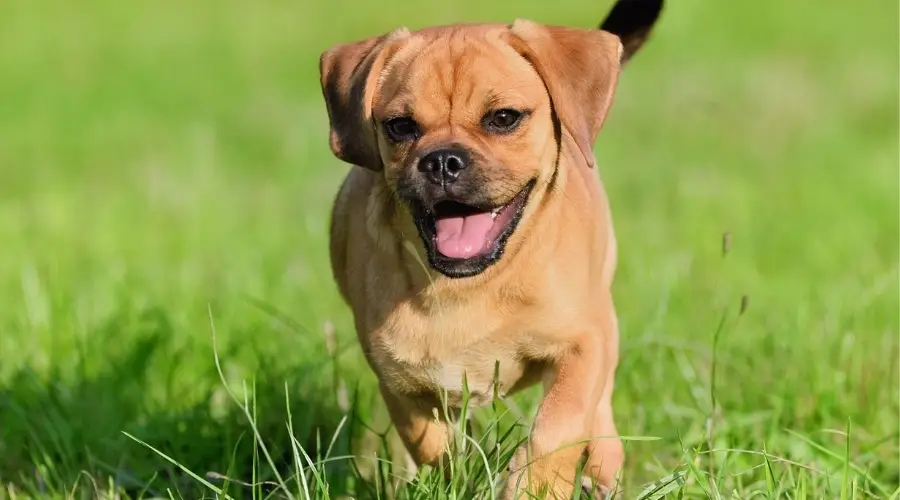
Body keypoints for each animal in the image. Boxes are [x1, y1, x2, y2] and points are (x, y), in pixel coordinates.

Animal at [320, 0, 664, 496]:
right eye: (400, 127)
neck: (469, 285)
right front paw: (461, 477)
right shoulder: (401, 384)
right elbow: (435, 448)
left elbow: (560, 425)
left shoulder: (583, 344)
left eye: (503, 118)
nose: (442, 161)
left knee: (599, 414)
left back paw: (600, 466)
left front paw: (536, 485)